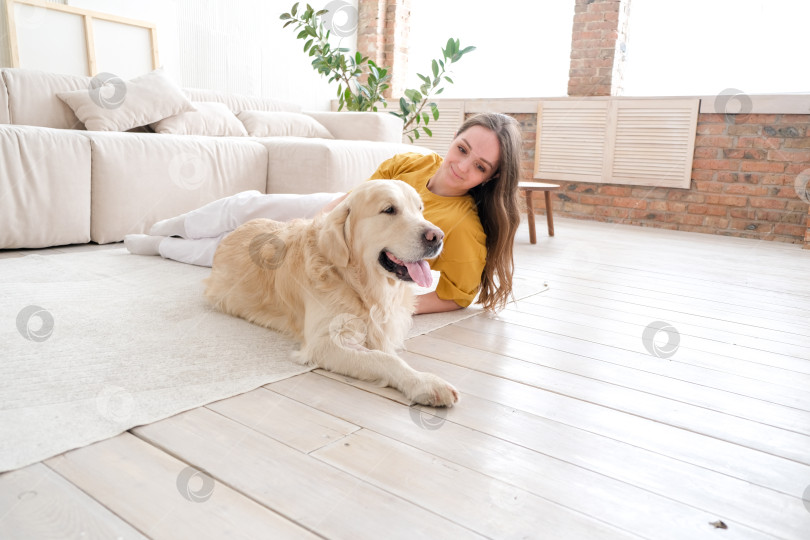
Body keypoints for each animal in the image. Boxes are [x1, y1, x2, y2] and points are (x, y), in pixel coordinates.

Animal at [205, 179, 458, 408]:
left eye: (420, 209)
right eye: (389, 210)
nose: (437, 236)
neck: (356, 282)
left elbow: (388, 352)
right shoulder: (326, 342)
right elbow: (384, 359)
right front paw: (426, 384)